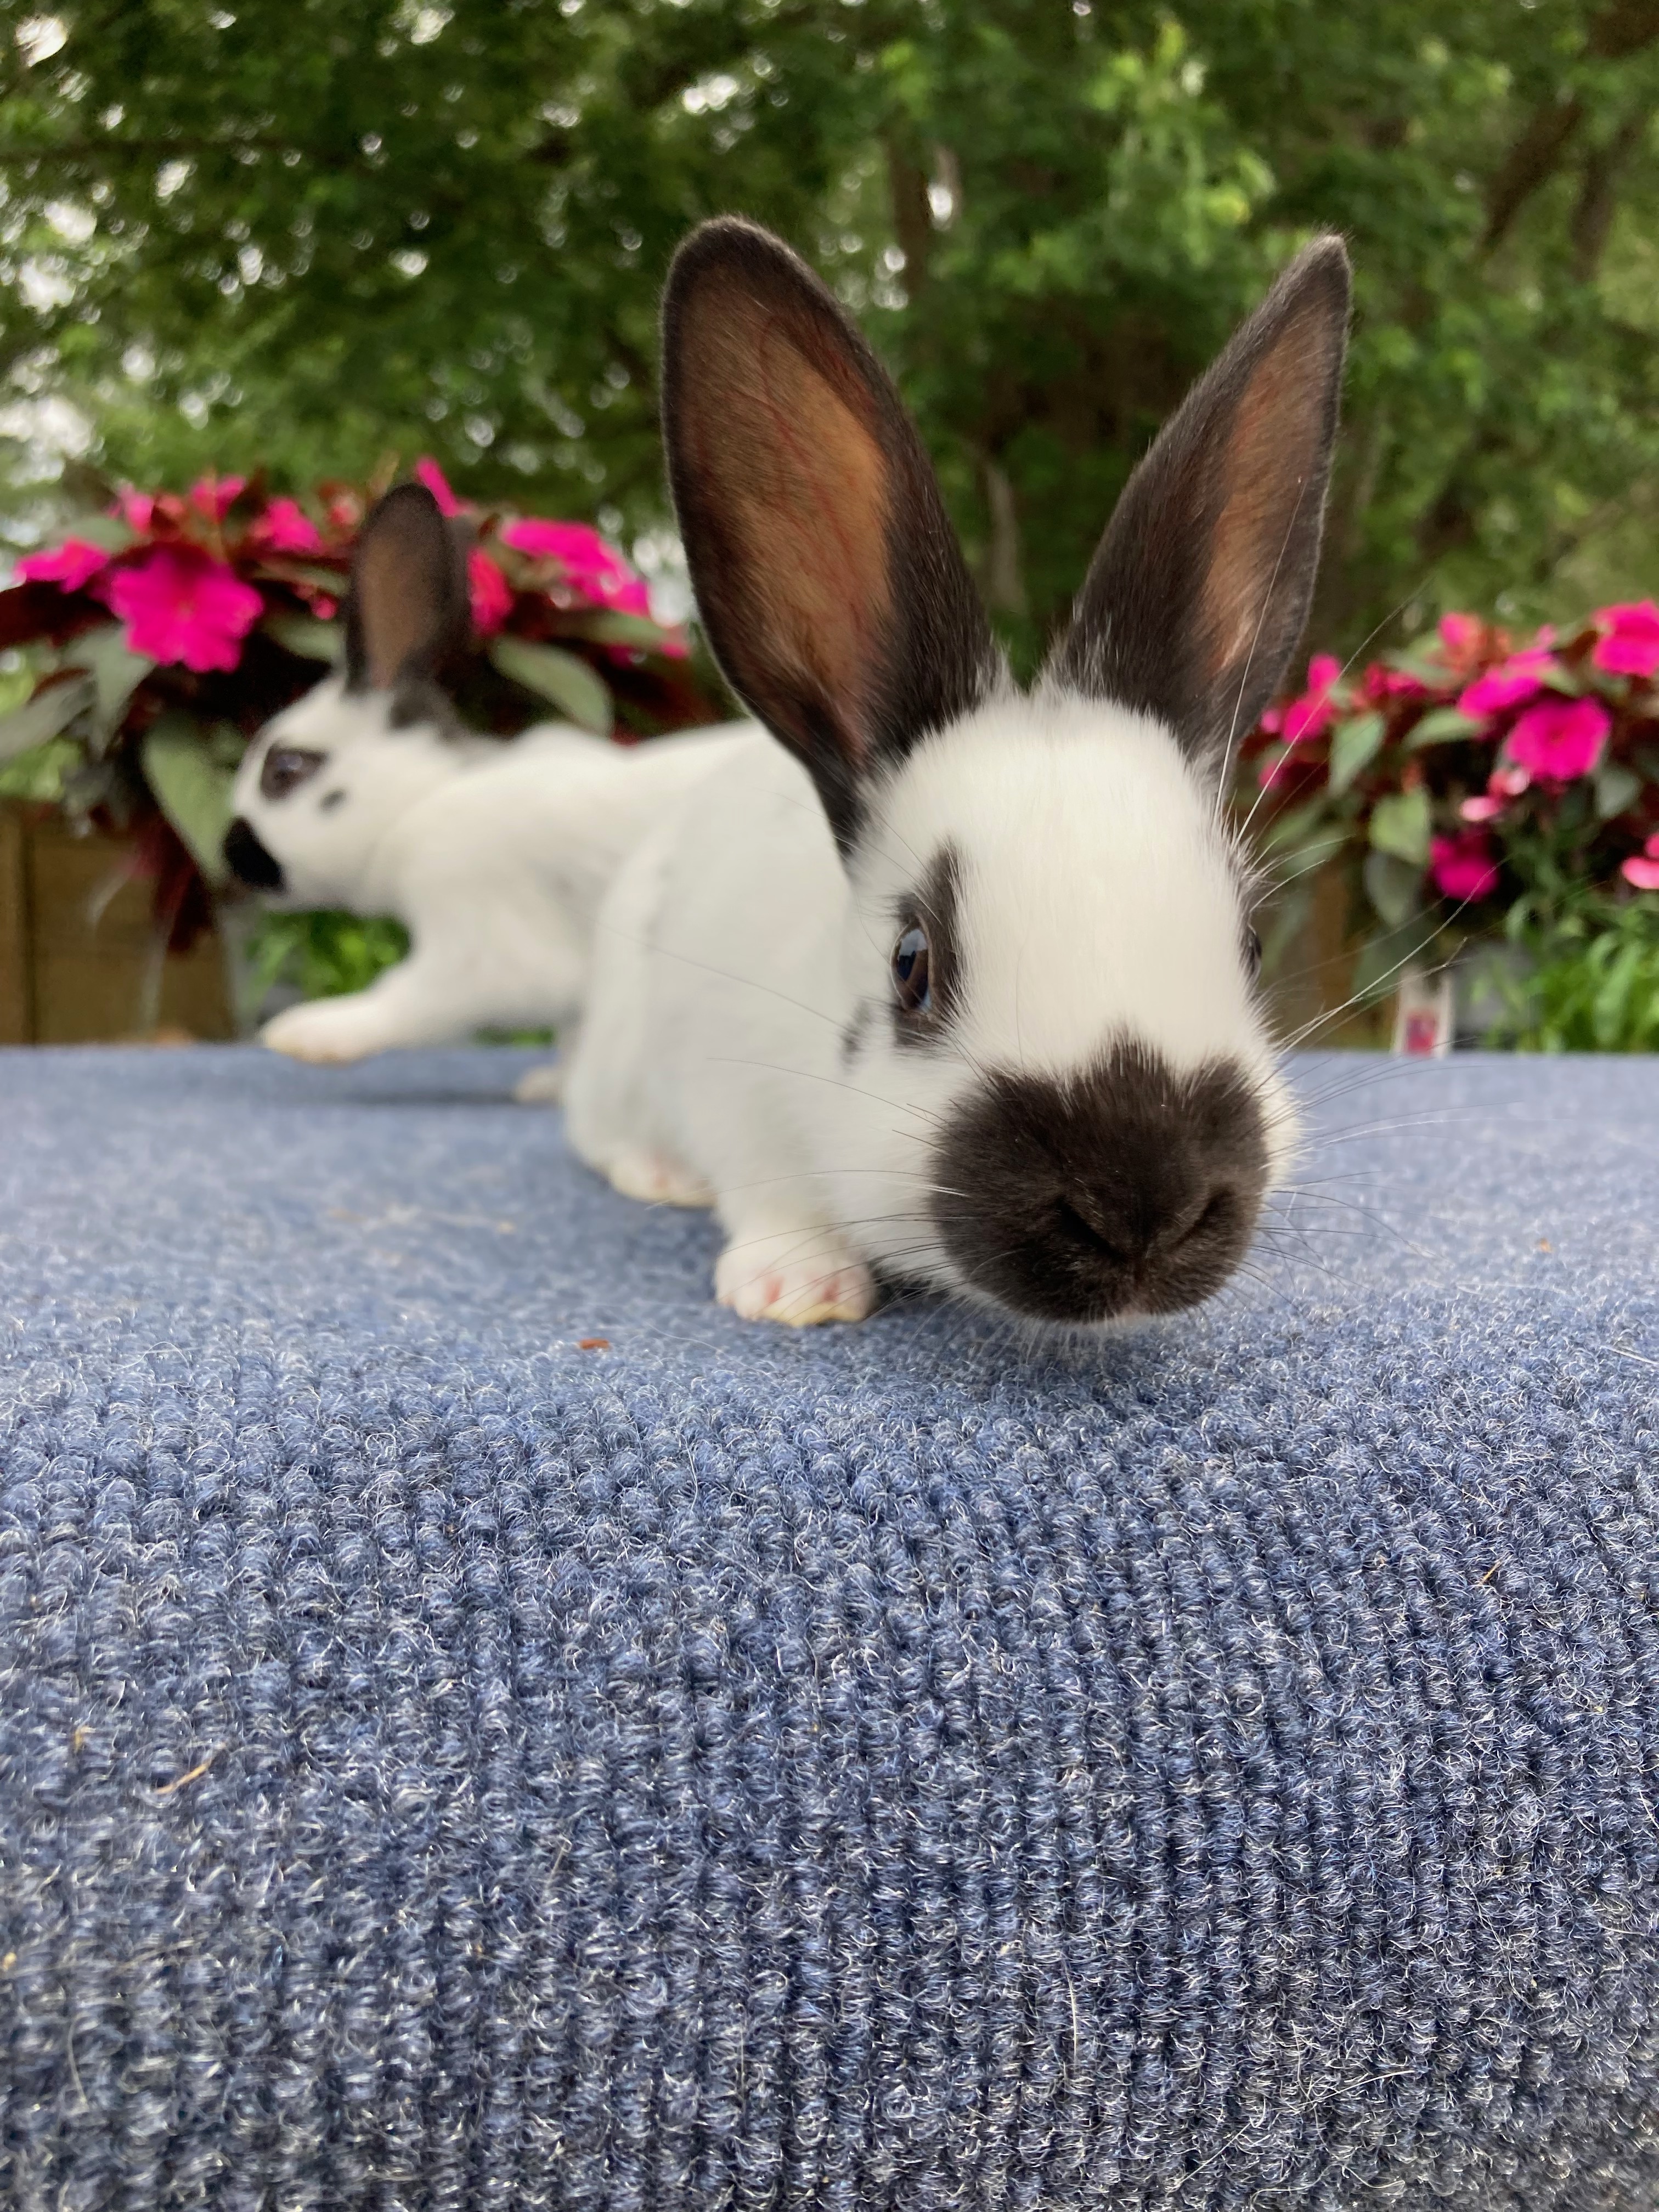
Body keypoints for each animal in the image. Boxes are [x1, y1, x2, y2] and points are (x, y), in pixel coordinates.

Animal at [223, 480, 745, 1068]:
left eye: (286, 769)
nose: (231, 855)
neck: (424, 798)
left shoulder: (483, 948)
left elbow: (411, 999)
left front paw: (308, 1032)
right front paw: (546, 1084)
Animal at [563, 217, 1350, 1326]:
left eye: (1246, 944)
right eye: (911, 964)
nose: (1140, 1209)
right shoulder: (721, 1073)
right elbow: (765, 1185)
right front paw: (798, 1286)